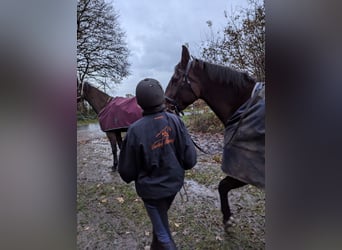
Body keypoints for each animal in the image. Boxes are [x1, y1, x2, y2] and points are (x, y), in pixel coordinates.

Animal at [164, 45, 266, 229]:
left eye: (175, 79)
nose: (164, 105)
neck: (245, 107)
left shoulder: (245, 171)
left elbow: (222, 186)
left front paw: (227, 218)